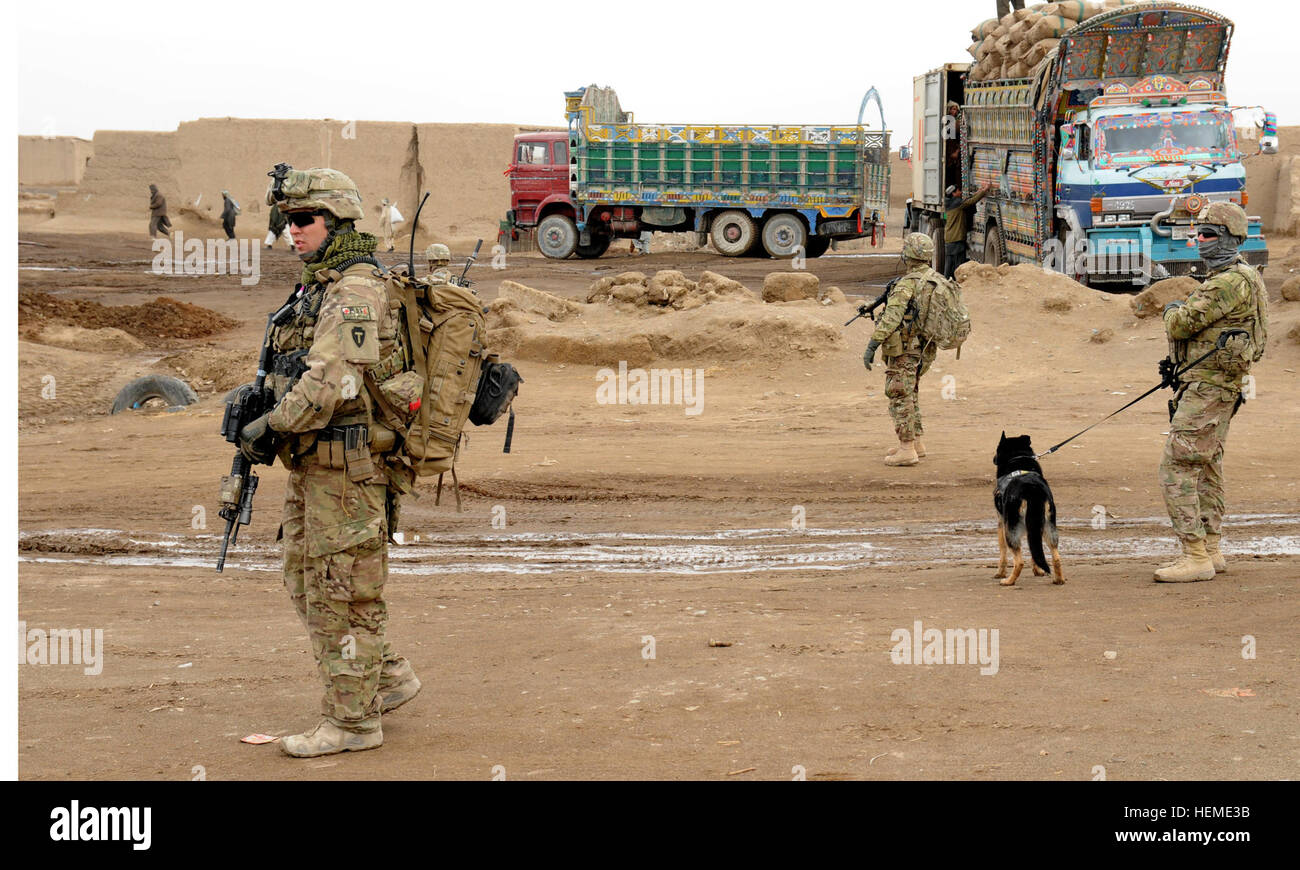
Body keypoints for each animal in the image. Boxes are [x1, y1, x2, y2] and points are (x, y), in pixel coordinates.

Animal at [993, 431, 1066, 587]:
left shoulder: (1001, 523)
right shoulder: (1033, 525)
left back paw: (1008, 581)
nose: (994, 459)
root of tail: (1032, 488)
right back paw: (1058, 580)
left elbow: (1003, 552)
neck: (1018, 456)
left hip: (1011, 529)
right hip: (1049, 527)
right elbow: (1035, 550)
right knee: (1056, 556)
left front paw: (1000, 573)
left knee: (1019, 561)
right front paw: (1038, 570)